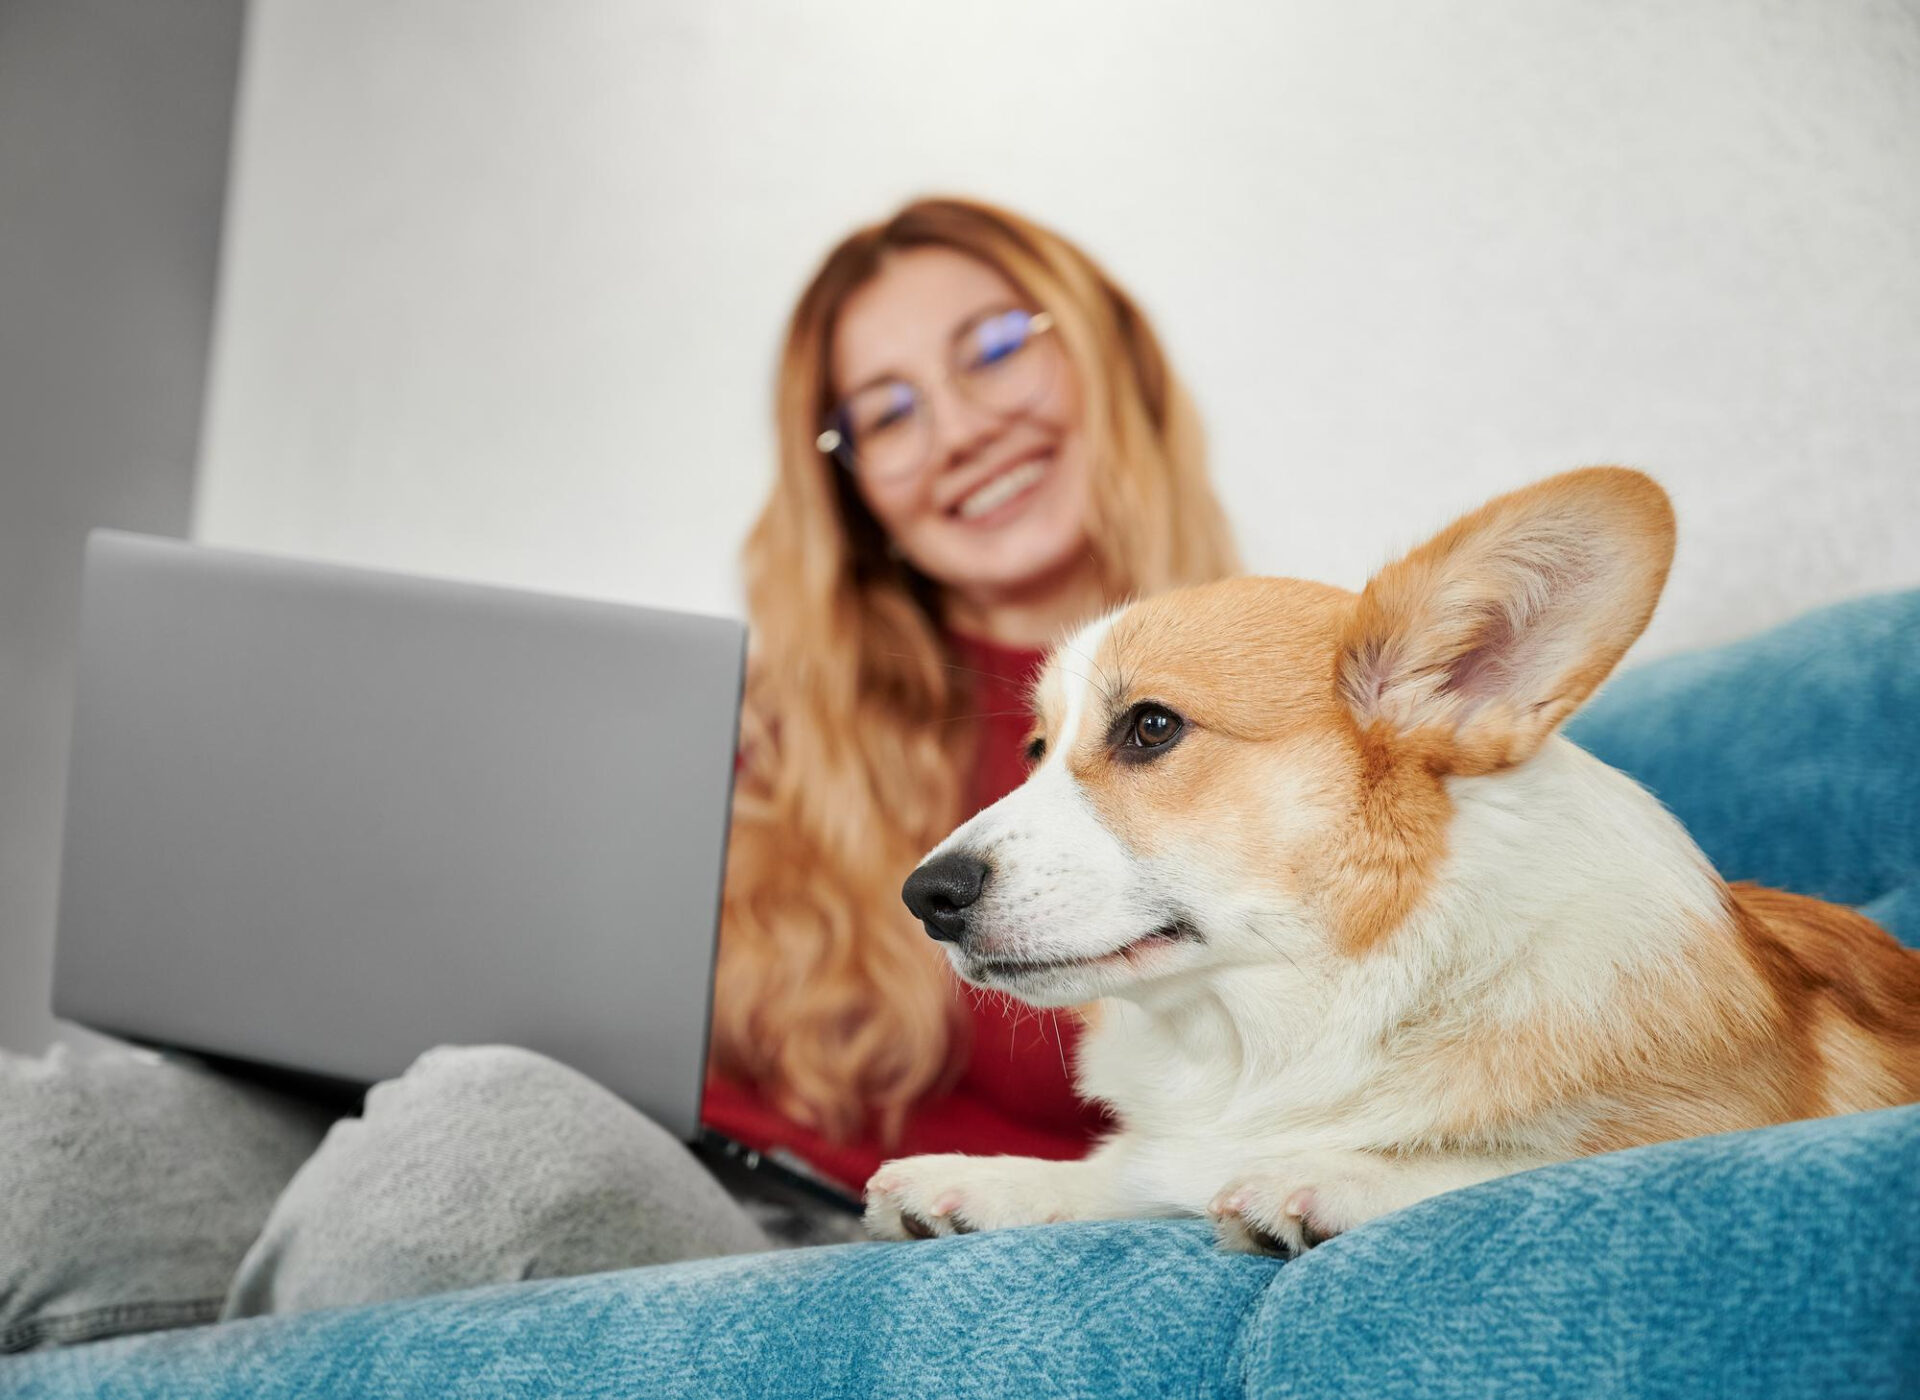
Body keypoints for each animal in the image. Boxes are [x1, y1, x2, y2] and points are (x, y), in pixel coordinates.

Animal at [867, 464, 1920, 1252]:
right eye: (1036, 751)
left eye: (1151, 728)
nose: (923, 897)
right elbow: (1122, 1172)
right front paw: (975, 1183)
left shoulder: (1727, 1122)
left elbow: (1500, 1164)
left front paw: (1324, 1177)